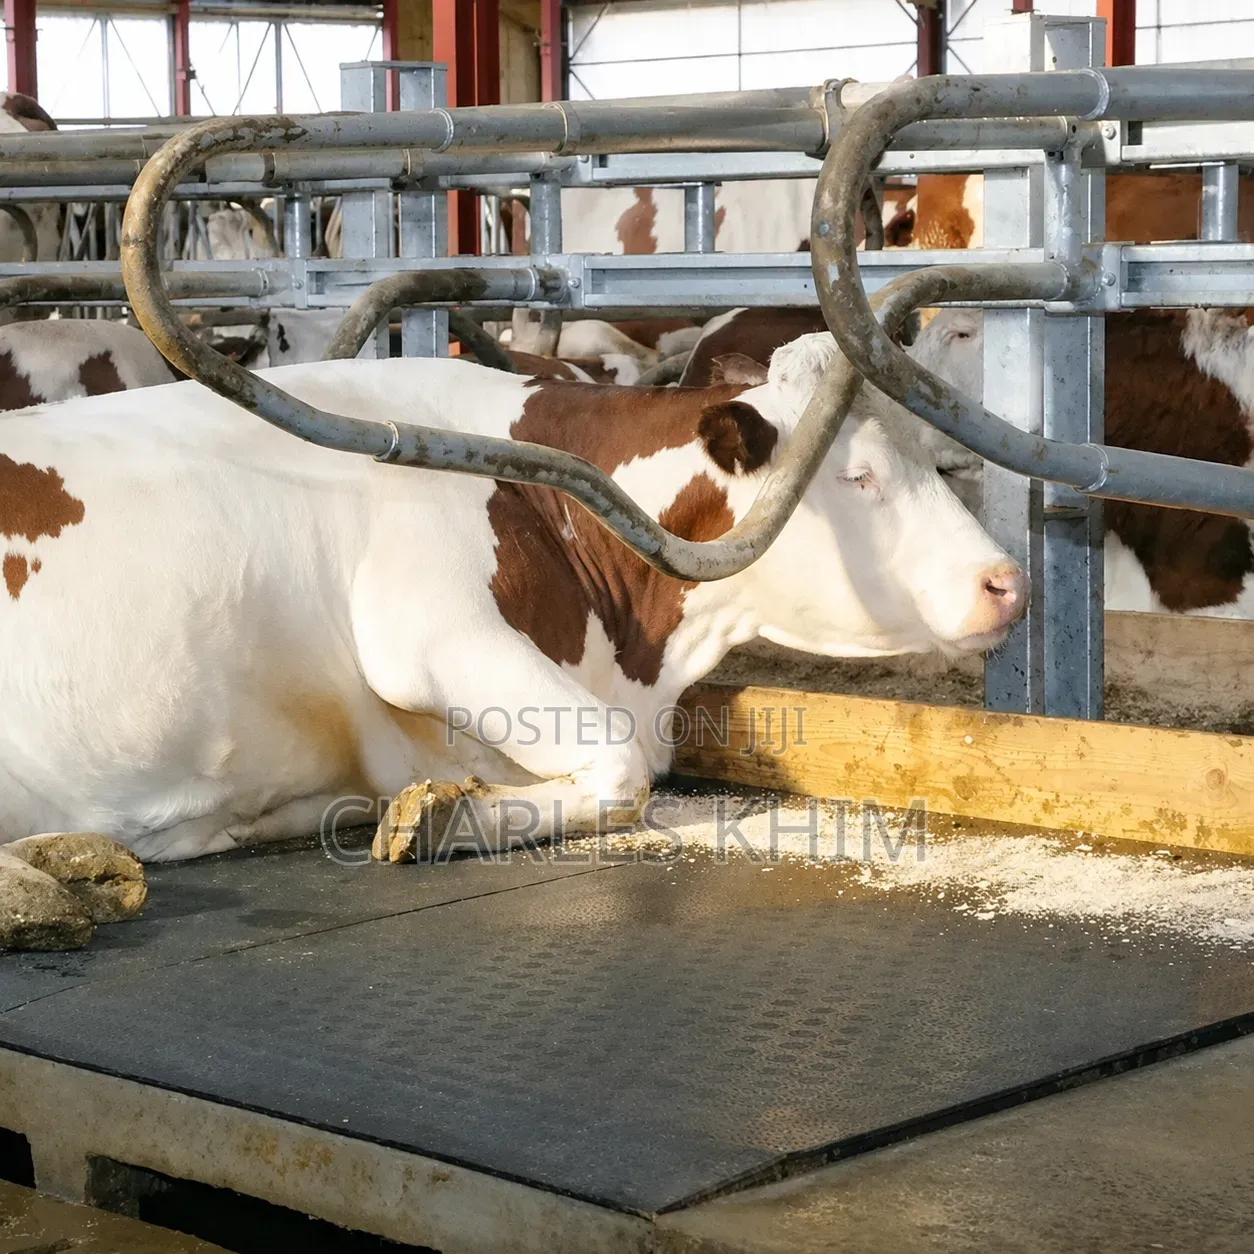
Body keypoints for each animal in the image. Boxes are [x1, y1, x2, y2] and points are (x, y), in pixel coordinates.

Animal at [0, 338, 1025, 883]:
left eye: (936, 455)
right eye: (858, 477)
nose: (1005, 581)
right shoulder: (426, 633)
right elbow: (619, 769)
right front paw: (439, 821)